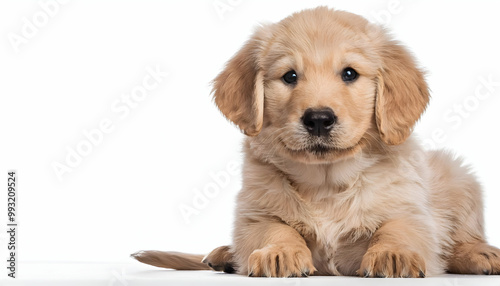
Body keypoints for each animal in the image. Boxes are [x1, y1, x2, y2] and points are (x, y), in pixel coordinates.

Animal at [133, 7, 500, 278]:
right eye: (290, 76)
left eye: (349, 74)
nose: (319, 119)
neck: (326, 183)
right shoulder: (255, 211)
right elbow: (275, 228)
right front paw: (279, 252)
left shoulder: (412, 210)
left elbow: (398, 228)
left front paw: (392, 253)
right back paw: (224, 254)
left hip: (460, 177)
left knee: (463, 238)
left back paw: (481, 254)